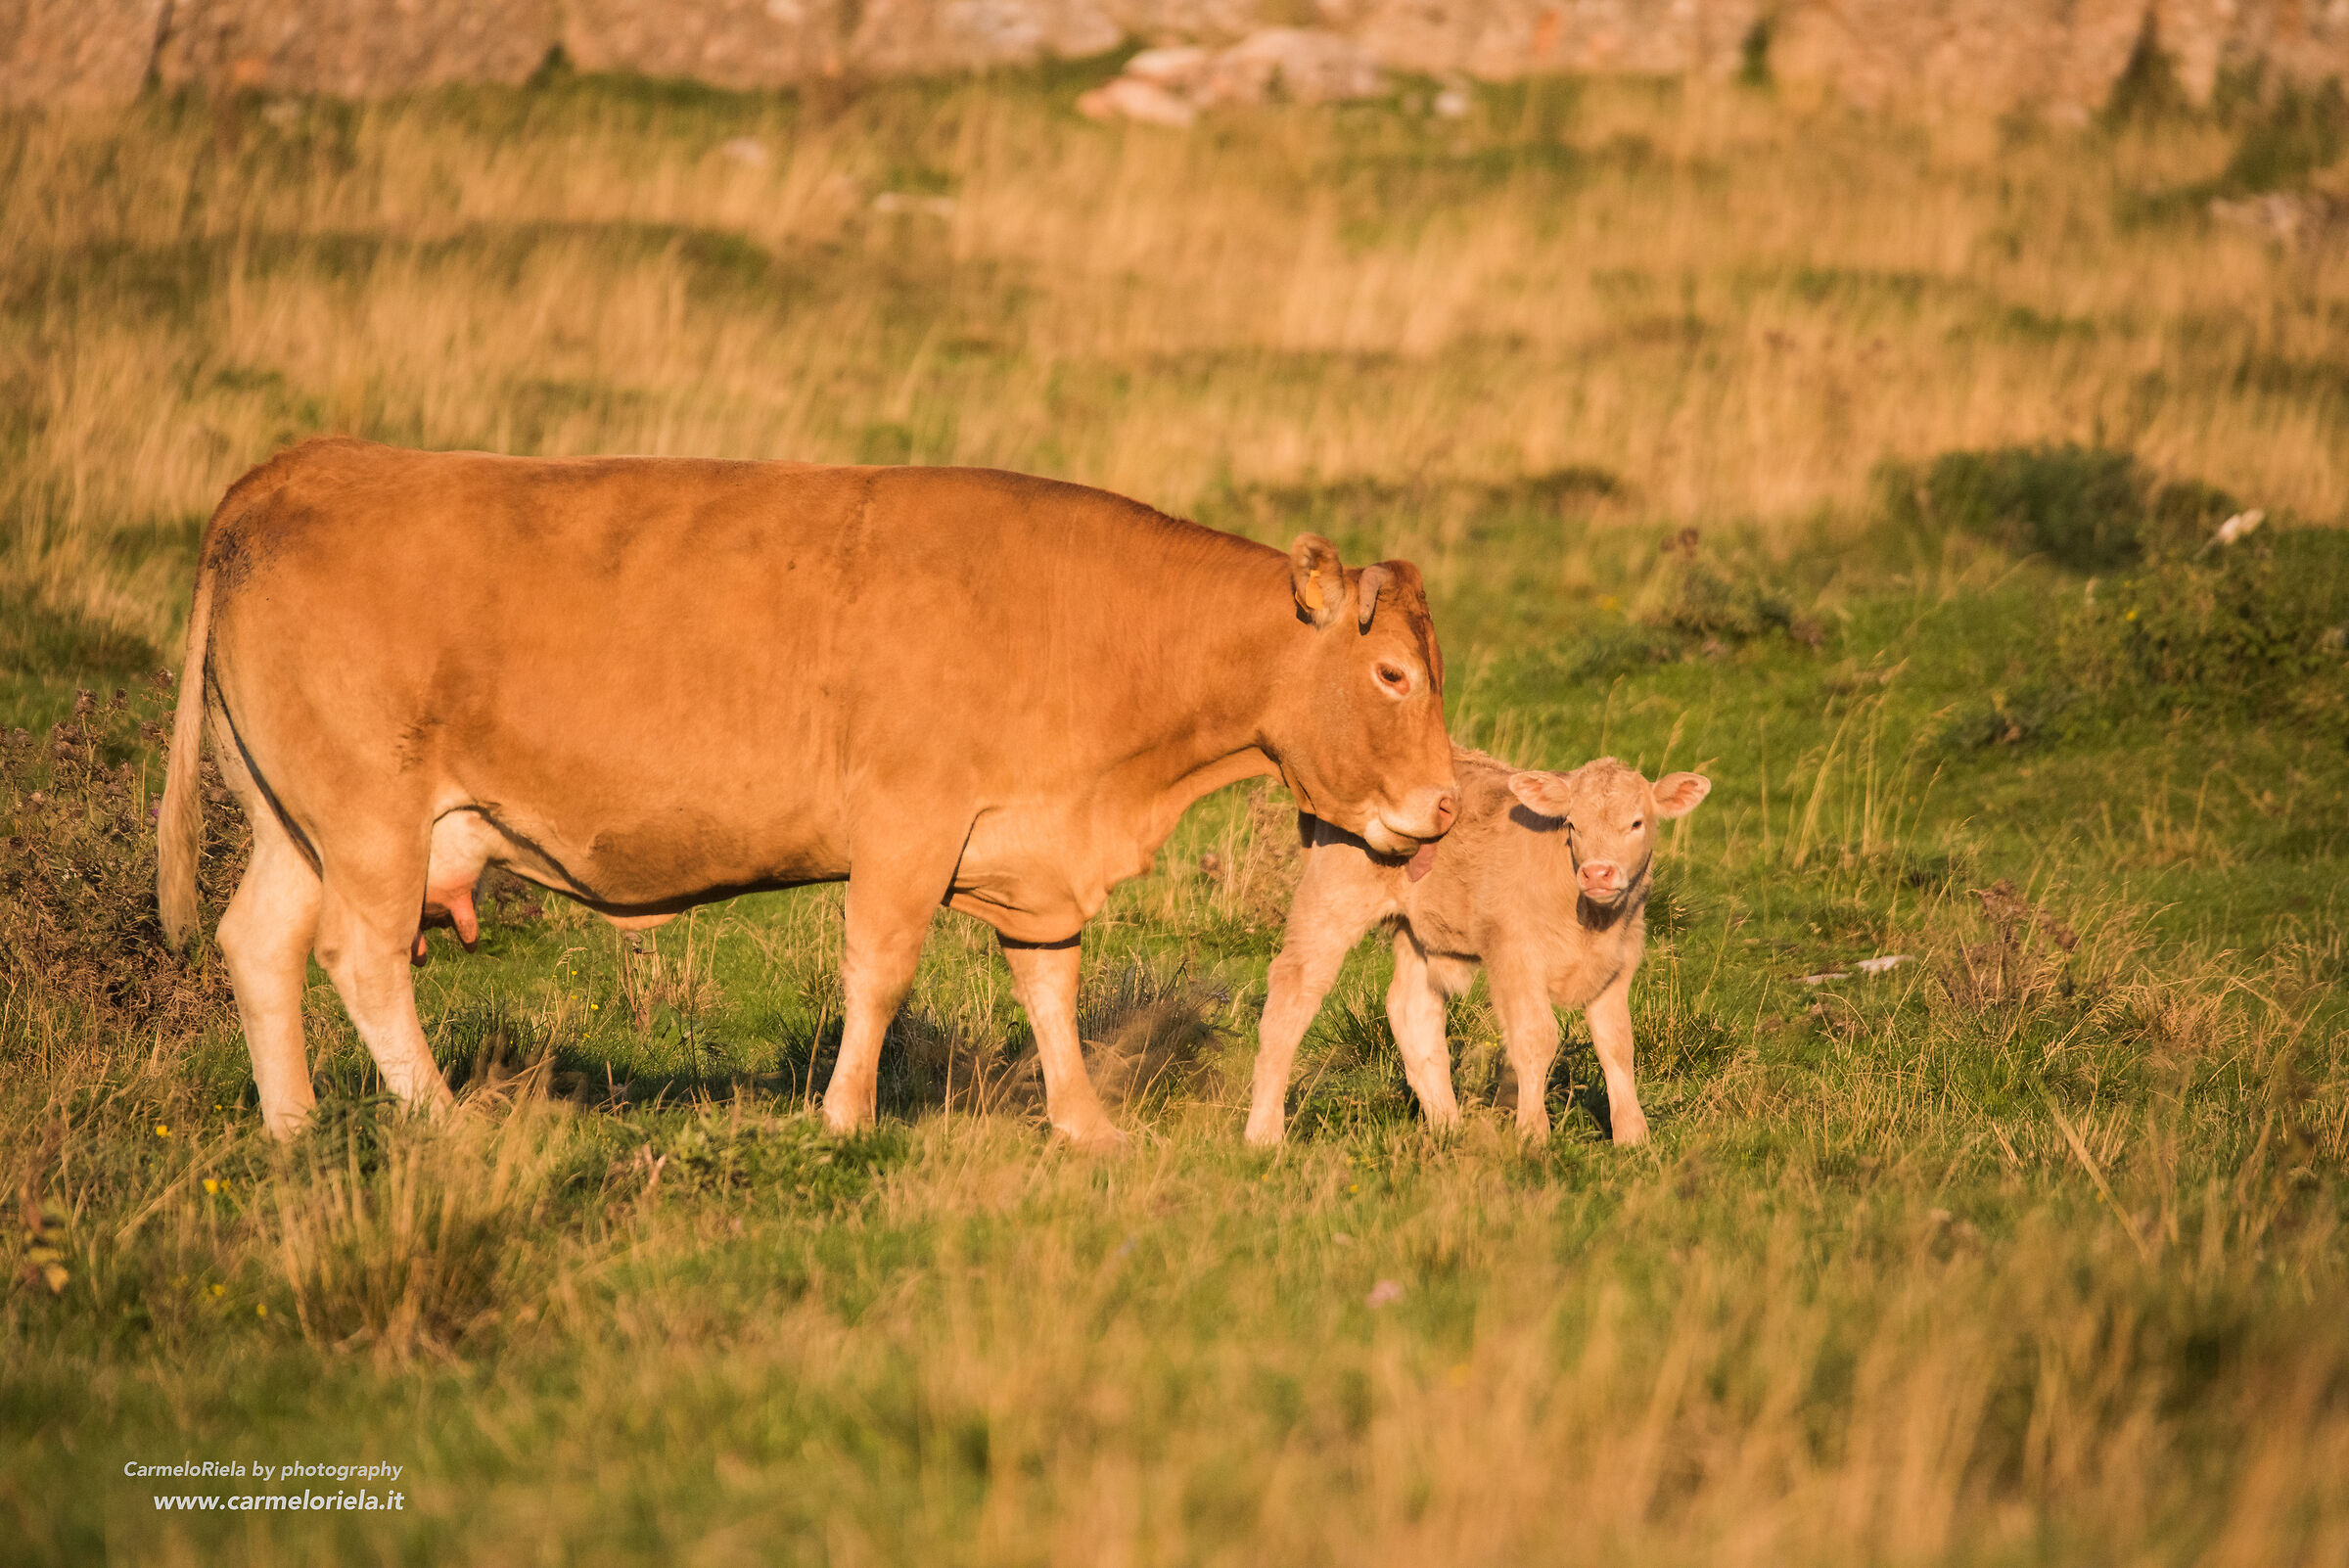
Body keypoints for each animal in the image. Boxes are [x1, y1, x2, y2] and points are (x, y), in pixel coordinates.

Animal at [157, 438, 1459, 1148]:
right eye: (1392, 674)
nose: (1447, 806)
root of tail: (301, 468)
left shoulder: (1027, 848)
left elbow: (1050, 986)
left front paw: (1088, 1125)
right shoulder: (909, 825)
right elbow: (877, 972)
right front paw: (842, 1117)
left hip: (294, 826)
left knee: (259, 943)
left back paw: (294, 1127)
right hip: (369, 820)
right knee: (361, 959)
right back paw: (439, 1117)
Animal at [1244, 750, 1709, 1145]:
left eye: (1636, 824)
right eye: (1572, 824)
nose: (1597, 873)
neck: (1590, 921)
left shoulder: (1619, 961)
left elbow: (1617, 1046)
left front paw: (1634, 1137)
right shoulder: (1513, 954)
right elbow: (1535, 1038)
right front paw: (1532, 1134)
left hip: (1416, 930)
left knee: (1412, 1010)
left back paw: (1448, 1128)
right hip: (1332, 899)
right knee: (1293, 993)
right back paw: (1263, 1133)